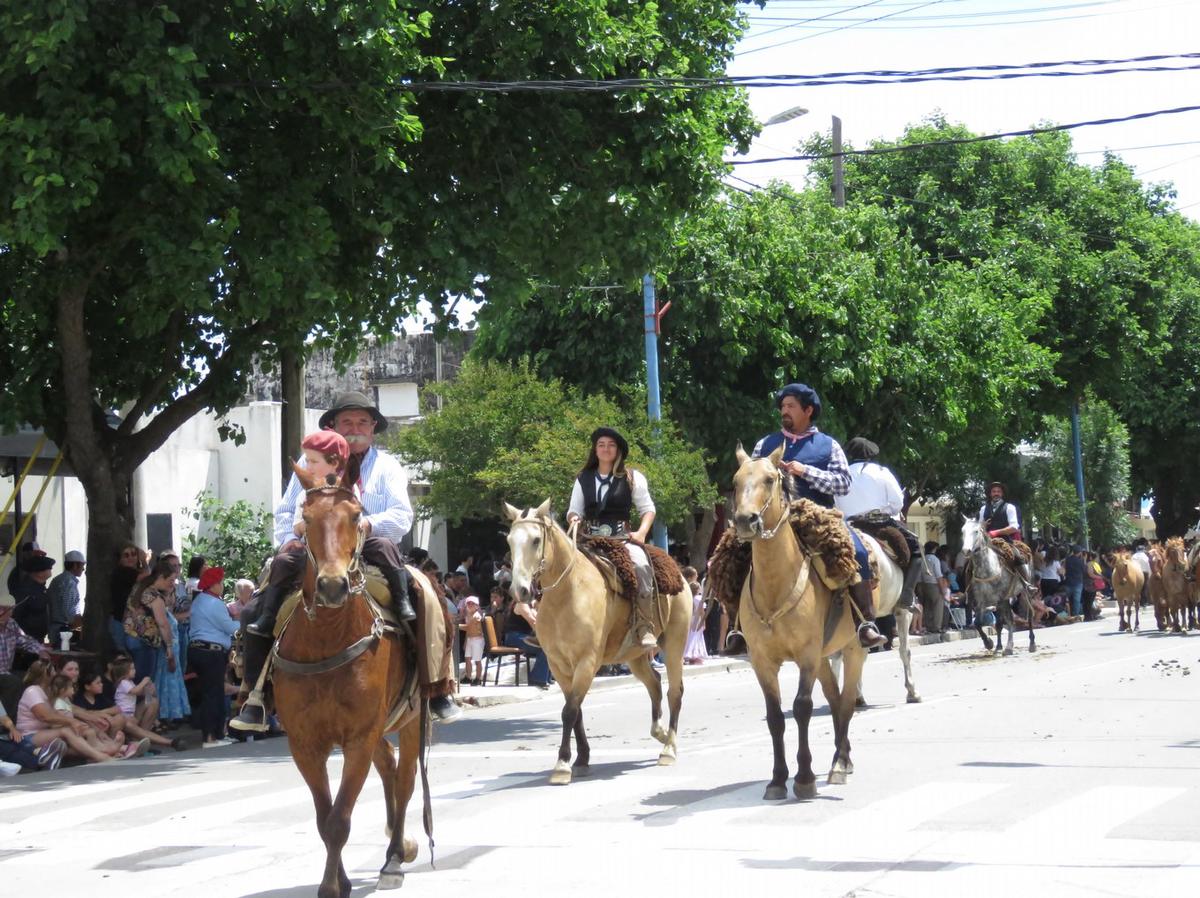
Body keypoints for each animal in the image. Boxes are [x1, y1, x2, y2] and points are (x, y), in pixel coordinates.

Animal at [276, 465, 432, 897]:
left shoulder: (359, 737)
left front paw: (333, 886)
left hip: (411, 718)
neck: (328, 638)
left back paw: (395, 857)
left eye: (355, 514)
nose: (332, 585)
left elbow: (339, 820)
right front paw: (338, 881)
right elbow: (324, 817)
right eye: (307, 517)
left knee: (405, 779)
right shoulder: (305, 743)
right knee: (390, 767)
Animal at [501, 497, 691, 787]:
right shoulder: (558, 665)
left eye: (535, 540)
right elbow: (575, 709)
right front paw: (581, 758)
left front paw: (562, 765)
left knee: (674, 692)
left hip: (674, 646)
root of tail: (679, 574)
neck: (567, 593)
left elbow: (569, 710)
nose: (520, 591)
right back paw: (658, 732)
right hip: (635, 655)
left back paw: (669, 748)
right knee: (655, 683)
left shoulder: (586, 662)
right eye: (510, 540)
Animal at [729, 444, 864, 801]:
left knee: (847, 703)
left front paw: (804, 778)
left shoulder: (805, 655)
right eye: (735, 481)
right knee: (835, 700)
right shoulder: (762, 661)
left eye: (770, 479)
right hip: (824, 657)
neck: (776, 586)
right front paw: (778, 779)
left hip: (853, 649)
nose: (745, 520)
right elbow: (776, 716)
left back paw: (839, 764)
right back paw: (842, 756)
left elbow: (802, 707)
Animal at [960, 516, 1036, 657]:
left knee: (1028, 616)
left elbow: (1005, 621)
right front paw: (989, 643)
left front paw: (1006, 647)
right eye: (963, 531)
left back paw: (1031, 643)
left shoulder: (1000, 599)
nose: (966, 550)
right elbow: (978, 623)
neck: (988, 569)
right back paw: (1001, 646)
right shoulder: (981, 601)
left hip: (1024, 593)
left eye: (976, 531)